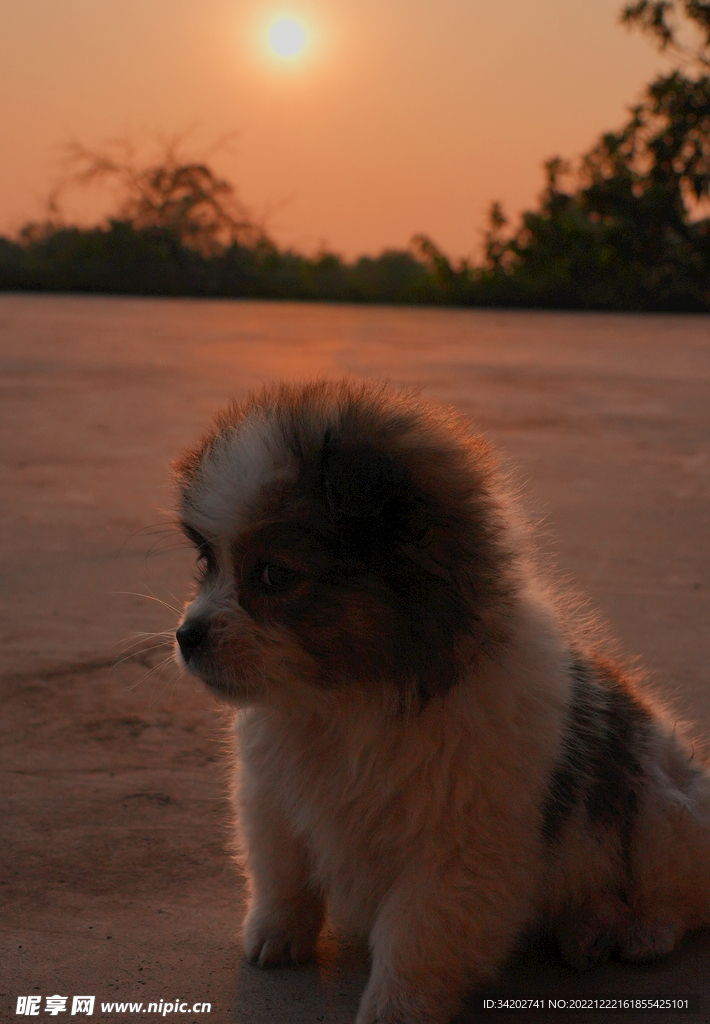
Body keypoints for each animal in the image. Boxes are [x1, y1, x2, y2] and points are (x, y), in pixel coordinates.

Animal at [173, 378, 708, 1024]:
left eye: (275, 575)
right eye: (207, 564)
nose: (187, 636)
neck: (349, 702)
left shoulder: (455, 849)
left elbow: (417, 934)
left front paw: (395, 1007)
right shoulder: (270, 797)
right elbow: (282, 873)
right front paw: (275, 935)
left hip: (662, 808)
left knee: (679, 896)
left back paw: (638, 930)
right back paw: (587, 928)